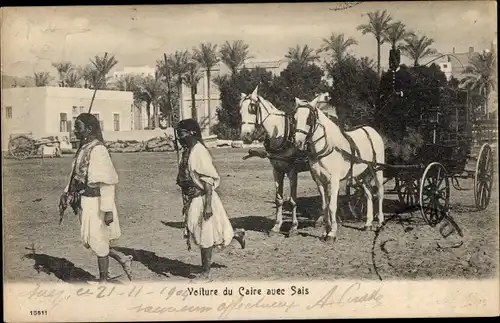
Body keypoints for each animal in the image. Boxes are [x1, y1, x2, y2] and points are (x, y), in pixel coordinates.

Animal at [240, 86, 326, 235]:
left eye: (252, 108)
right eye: (240, 111)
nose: (245, 136)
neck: (281, 135)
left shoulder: (292, 172)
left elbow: (292, 200)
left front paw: (293, 226)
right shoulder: (277, 171)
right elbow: (279, 199)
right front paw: (276, 225)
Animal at [292, 98, 384, 243]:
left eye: (309, 118)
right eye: (294, 118)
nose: (298, 143)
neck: (328, 147)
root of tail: (371, 130)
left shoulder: (334, 180)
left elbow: (332, 206)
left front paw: (332, 233)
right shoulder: (320, 181)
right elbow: (324, 206)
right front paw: (325, 232)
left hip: (377, 170)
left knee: (379, 193)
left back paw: (380, 222)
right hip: (361, 174)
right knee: (369, 194)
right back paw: (368, 224)